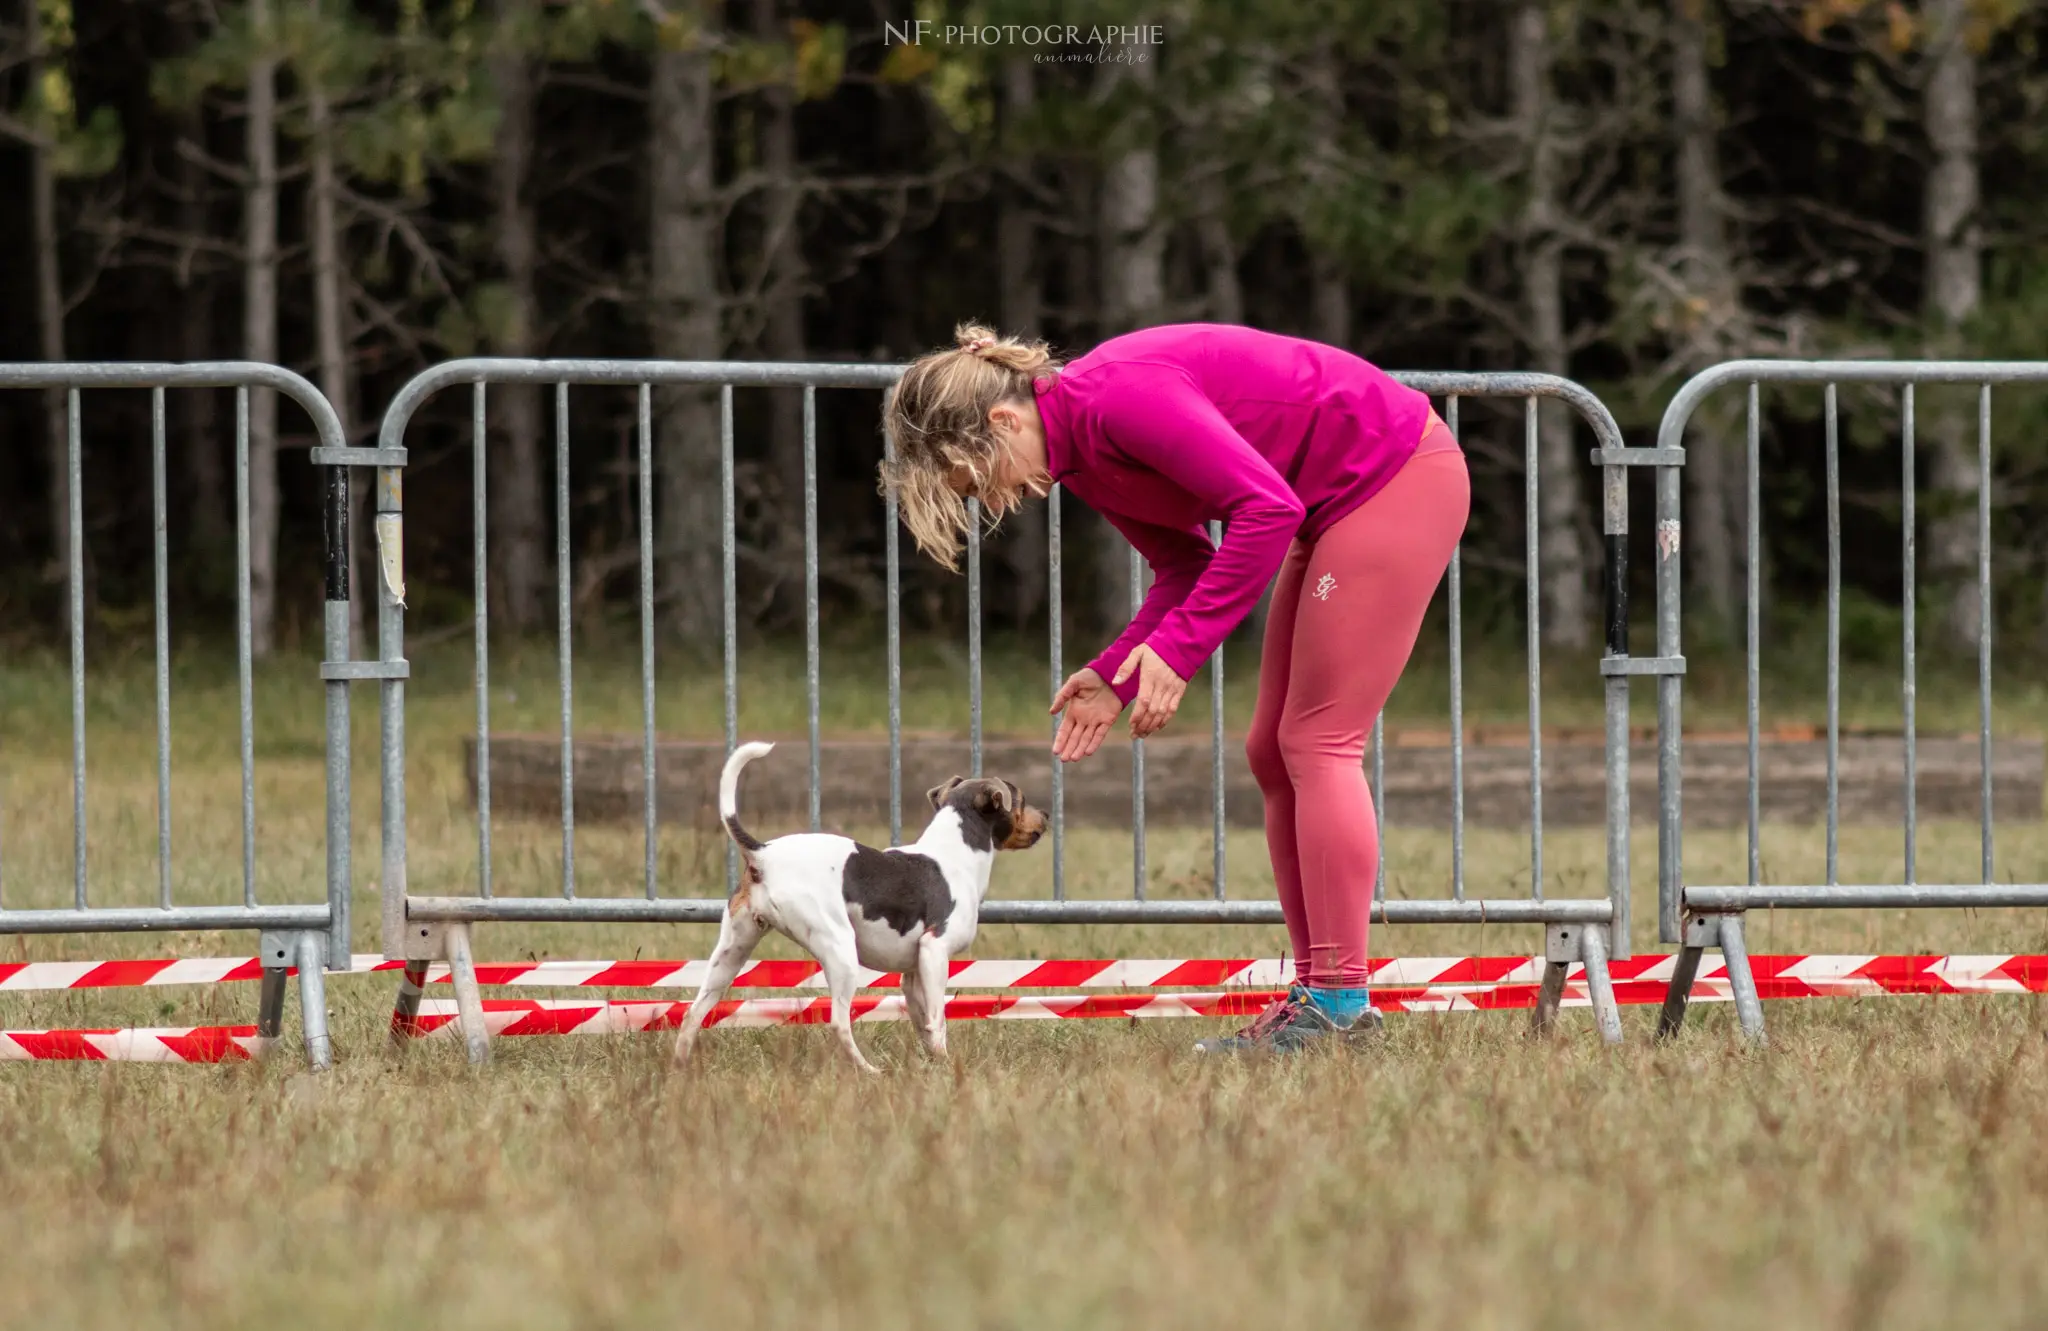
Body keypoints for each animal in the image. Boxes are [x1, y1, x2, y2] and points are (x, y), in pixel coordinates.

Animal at [679, 737, 1048, 1064]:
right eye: (1021, 799)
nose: (1046, 813)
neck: (954, 853)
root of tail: (763, 854)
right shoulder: (935, 952)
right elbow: (938, 1020)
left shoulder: (912, 973)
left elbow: (924, 1025)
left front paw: (935, 1065)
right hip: (841, 951)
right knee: (839, 1023)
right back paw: (869, 1071)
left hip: (731, 953)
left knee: (693, 1014)